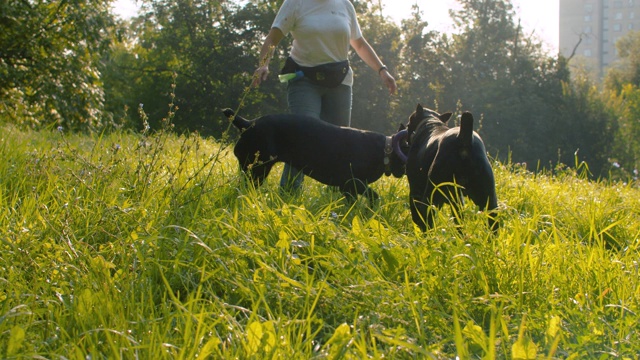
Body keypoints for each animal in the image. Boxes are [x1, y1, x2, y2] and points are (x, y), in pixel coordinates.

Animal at [222, 108, 408, 204]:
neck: (386, 150)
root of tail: (248, 123)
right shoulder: (352, 182)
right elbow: (374, 196)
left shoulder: (348, 189)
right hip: (257, 170)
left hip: (251, 169)